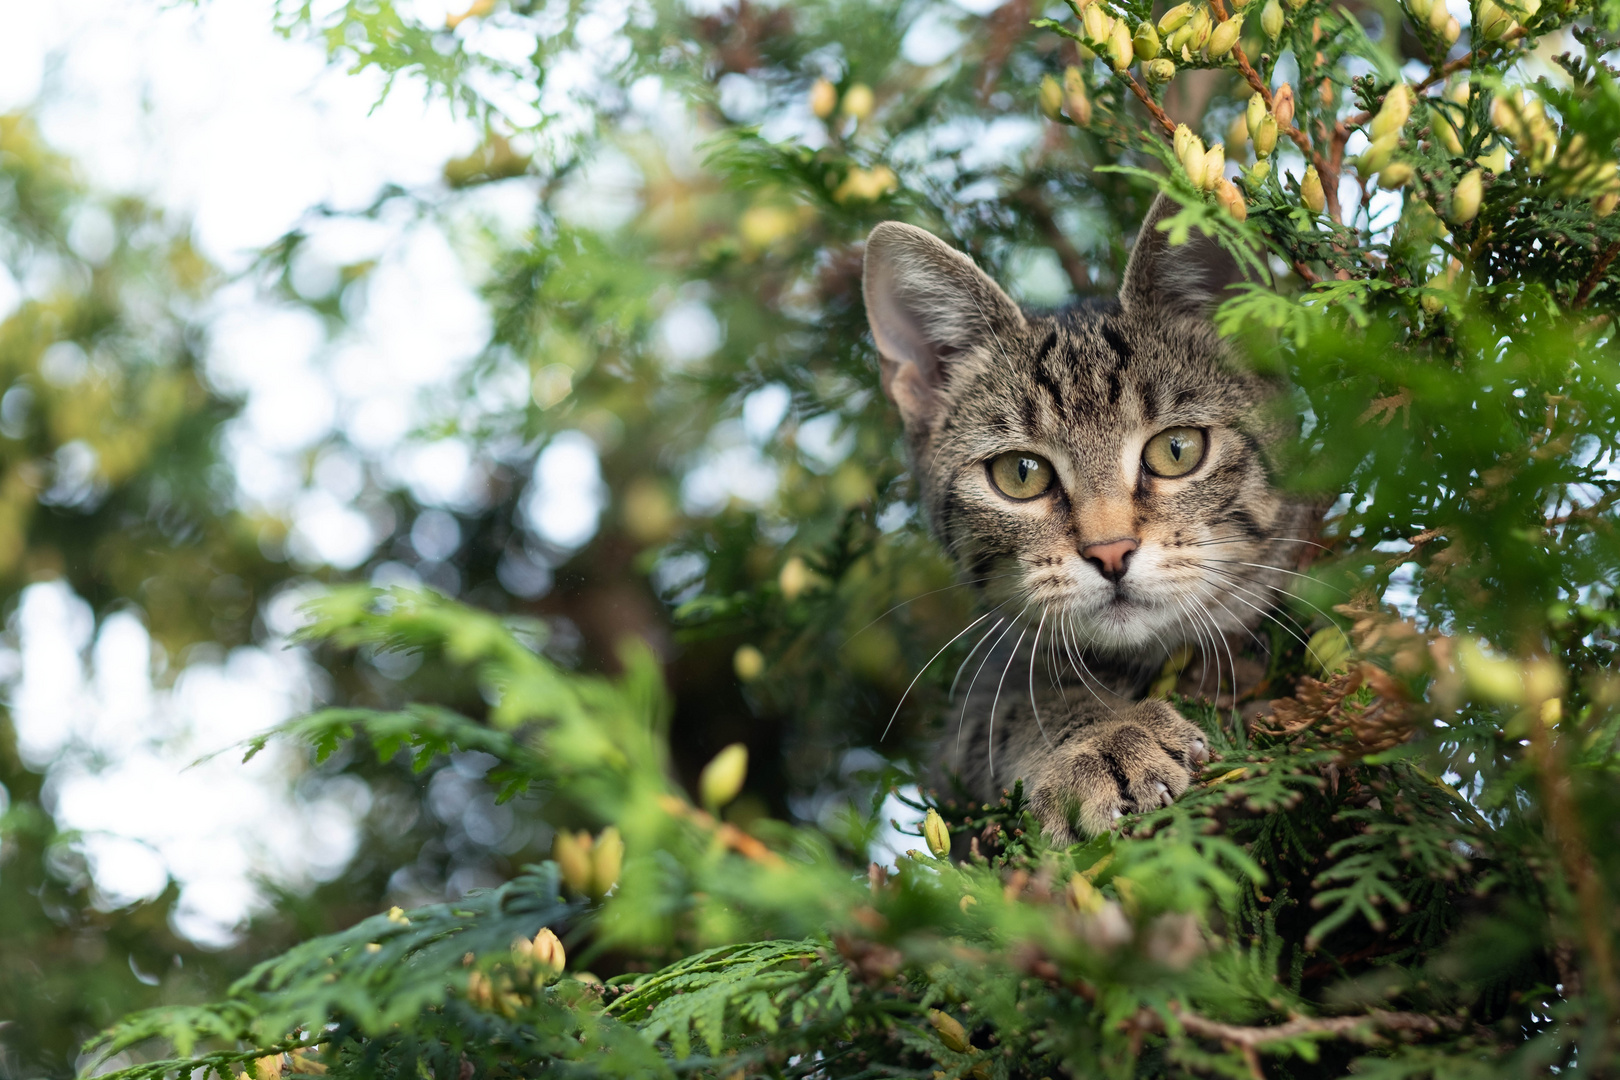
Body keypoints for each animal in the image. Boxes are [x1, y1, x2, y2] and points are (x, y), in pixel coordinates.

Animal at [861, 196, 1315, 841]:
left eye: (1177, 449)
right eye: (1020, 474)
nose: (1110, 551)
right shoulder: (971, 722)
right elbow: (1020, 704)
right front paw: (1104, 738)